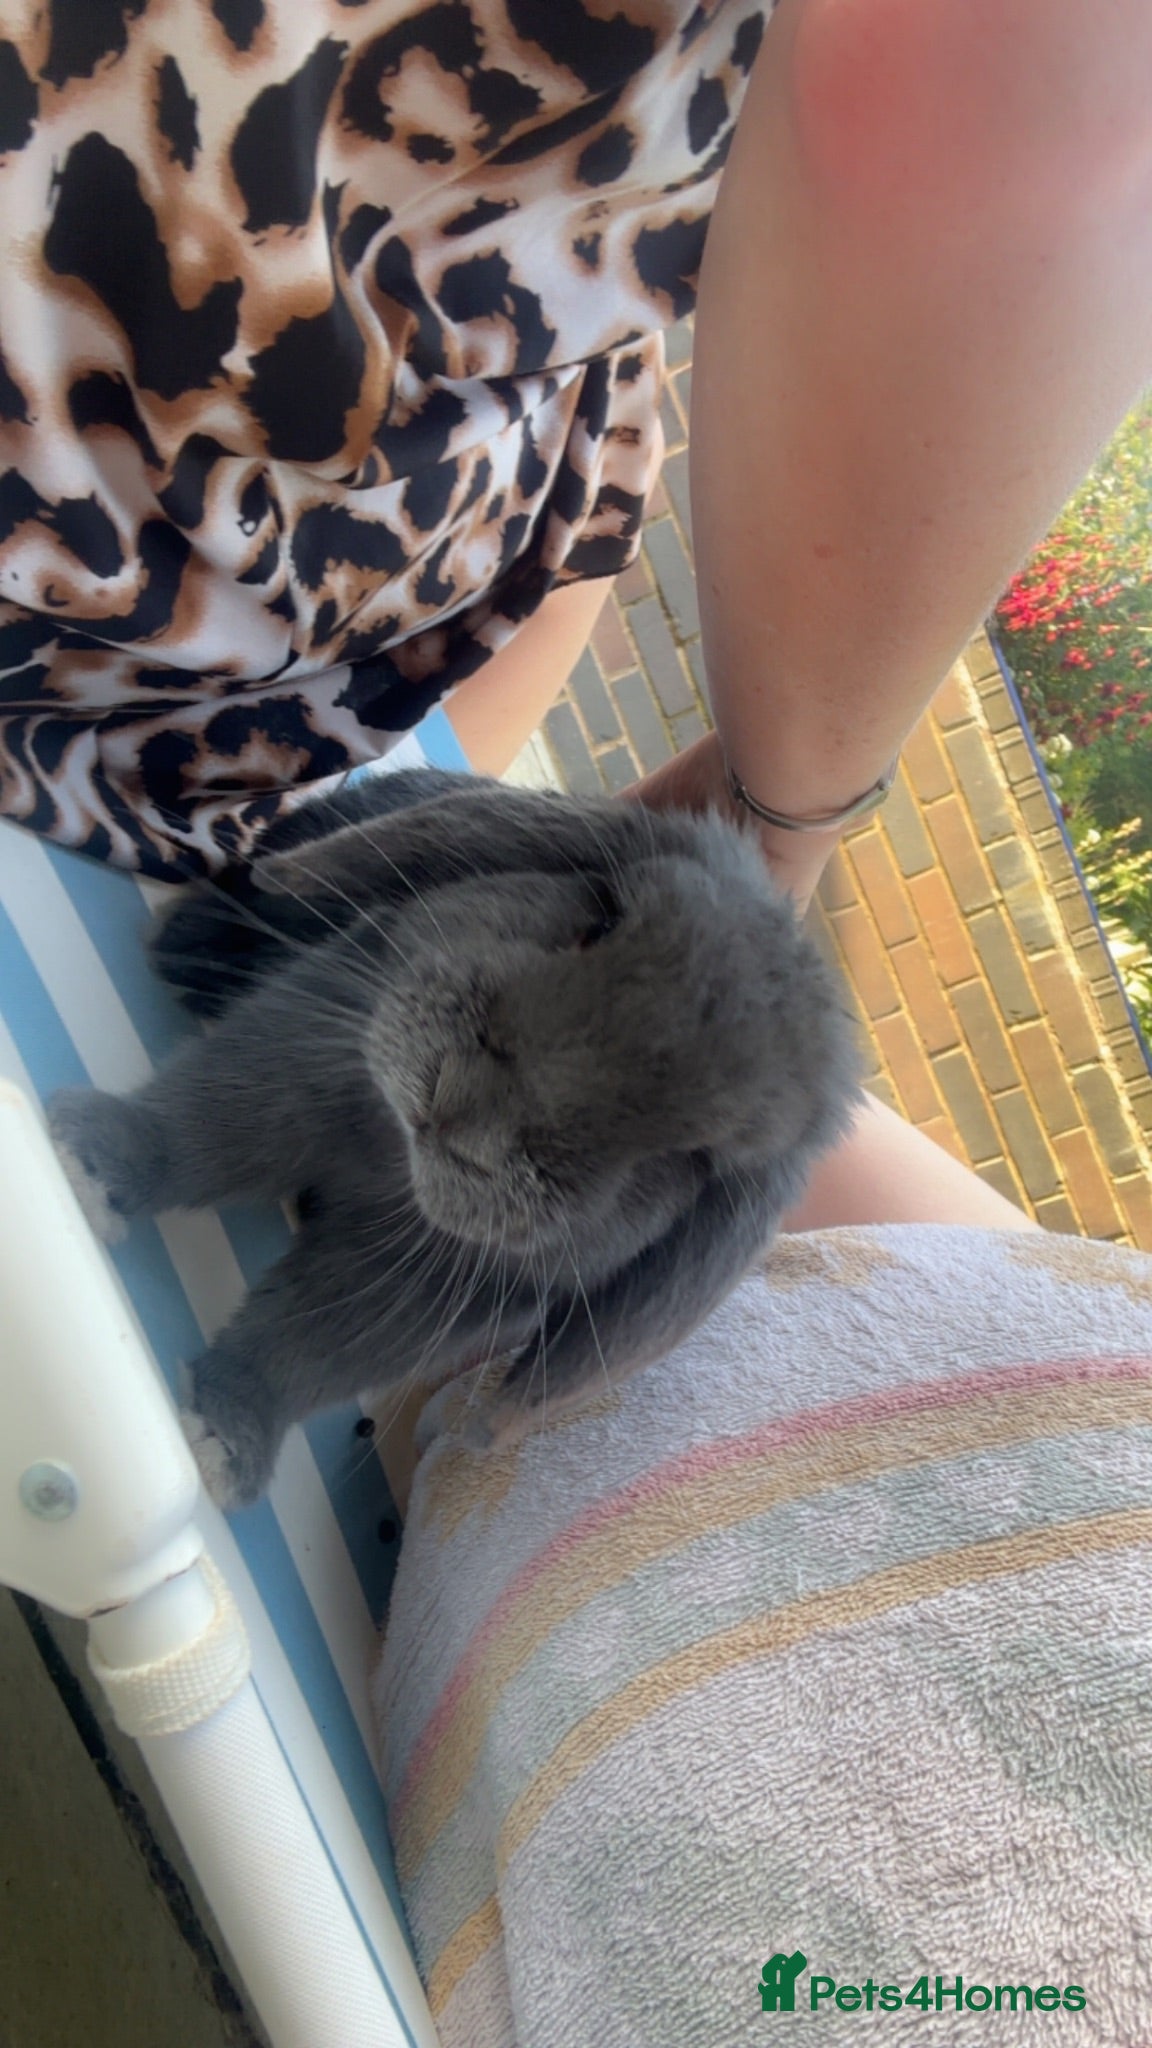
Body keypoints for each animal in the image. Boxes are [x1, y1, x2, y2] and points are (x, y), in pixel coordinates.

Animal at [49, 768, 862, 1508]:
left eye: (691, 1161)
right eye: (601, 915)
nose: (463, 1108)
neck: (394, 1158)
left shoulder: (430, 1283)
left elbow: (303, 1344)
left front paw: (222, 1441)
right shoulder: (314, 1042)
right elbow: (200, 1127)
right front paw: (85, 1162)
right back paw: (187, 946)